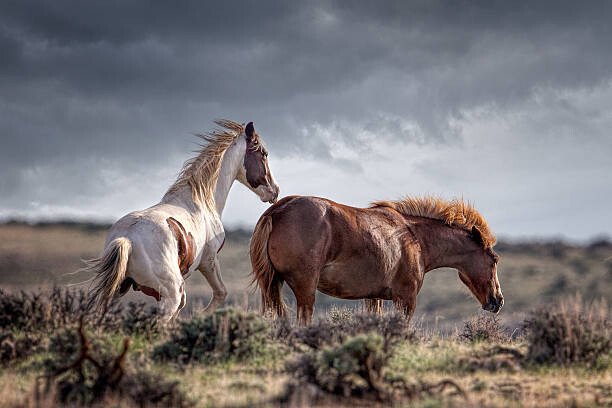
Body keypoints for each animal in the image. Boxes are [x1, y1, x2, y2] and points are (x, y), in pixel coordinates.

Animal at [84, 119, 280, 320]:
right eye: (263, 153)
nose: (275, 191)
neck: (200, 200)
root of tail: (127, 239)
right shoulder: (209, 260)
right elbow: (221, 293)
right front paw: (199, 316)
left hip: (119, 290)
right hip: (170, 294)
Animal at [249, 194, 502, 326]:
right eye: (494, 259)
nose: (498, 301)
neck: (414, 237)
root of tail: (277, 210)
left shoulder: (373, 298)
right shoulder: (406, 299)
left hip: (273, 285)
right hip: (305, 289)